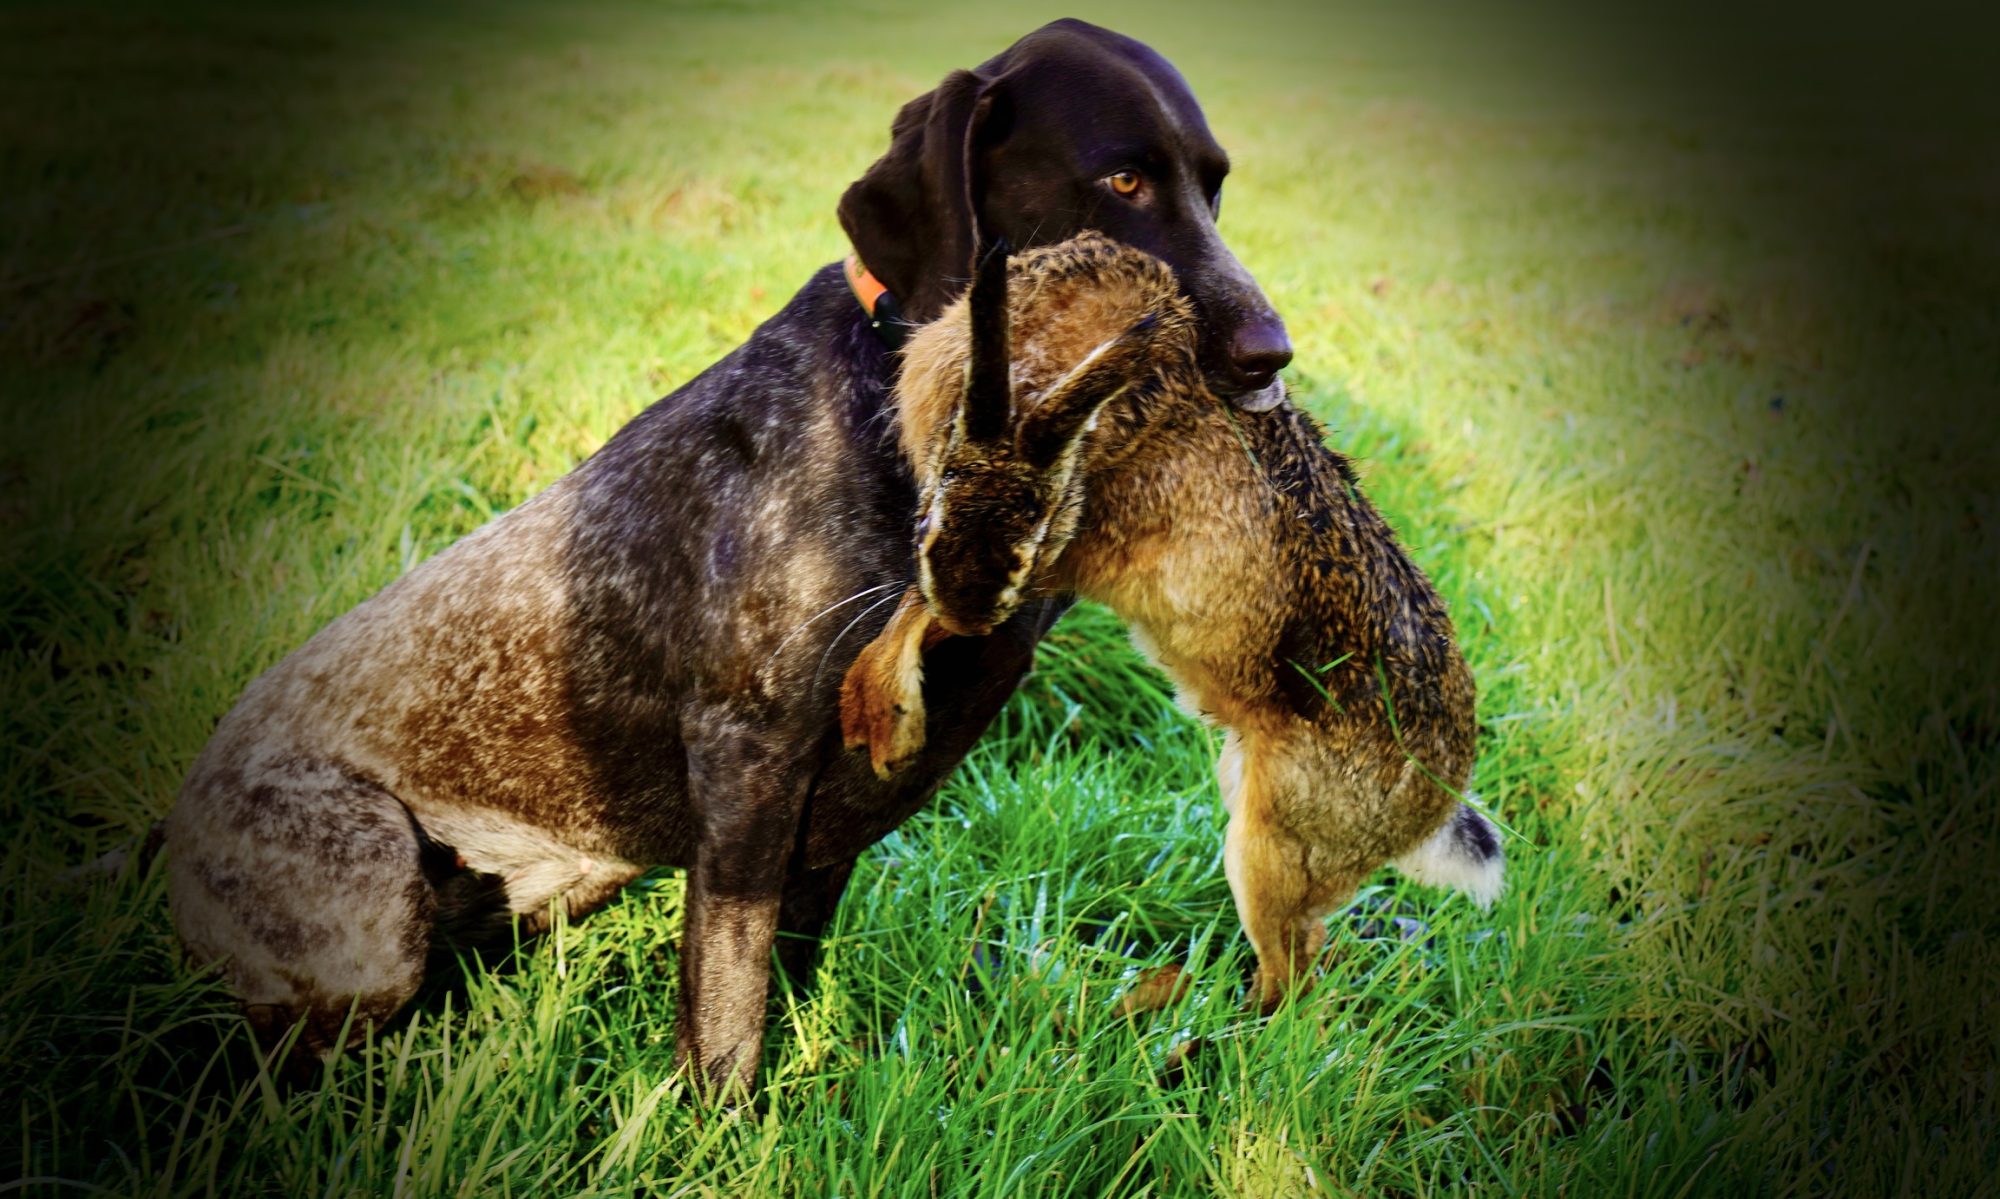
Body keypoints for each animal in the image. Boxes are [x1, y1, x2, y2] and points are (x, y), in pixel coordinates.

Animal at [845, 232, 1502, 1008]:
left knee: (1290, 976)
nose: (972, 612)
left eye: (1034, 535)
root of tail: (1440, 792)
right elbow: (911, 607)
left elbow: (913, 616)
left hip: (1274, 844)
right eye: (924, 525)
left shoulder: (1057, 559)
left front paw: (883, 722)